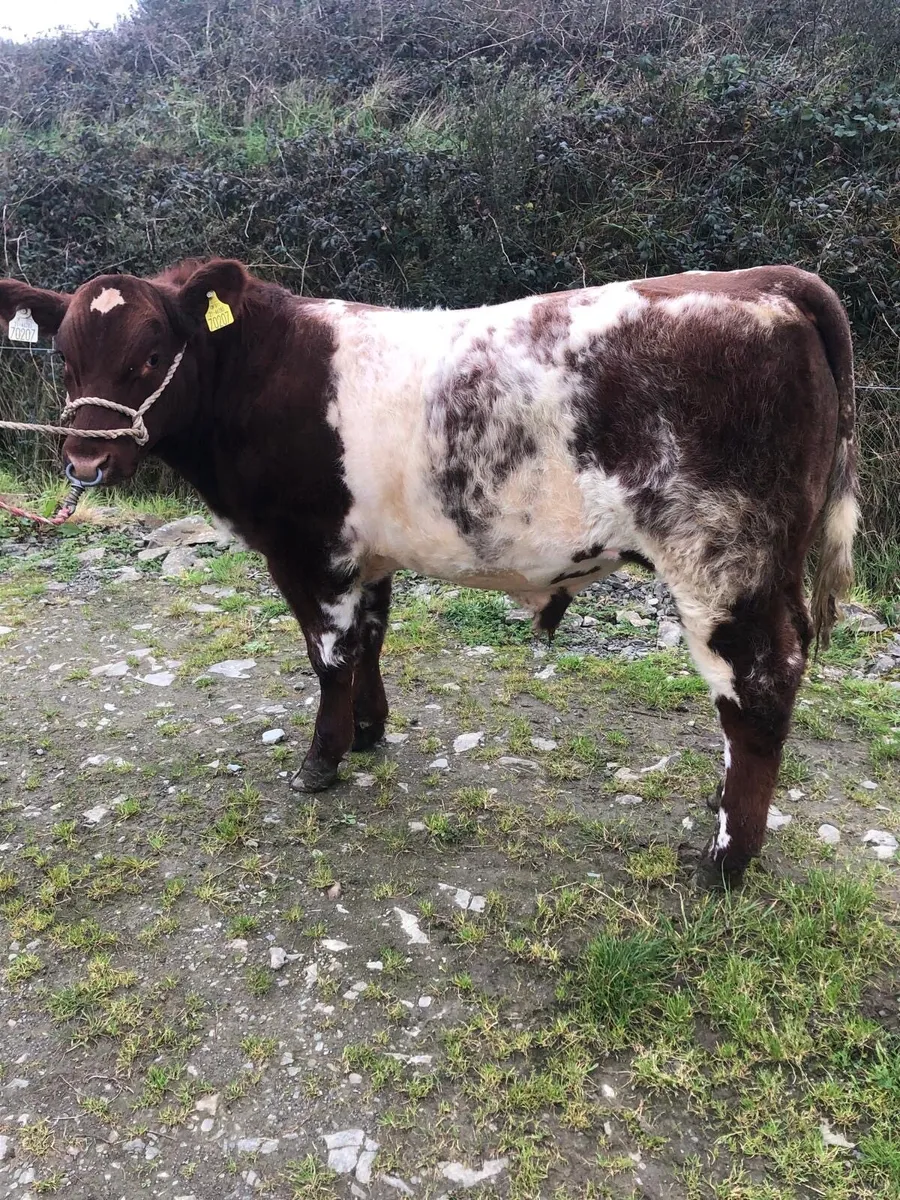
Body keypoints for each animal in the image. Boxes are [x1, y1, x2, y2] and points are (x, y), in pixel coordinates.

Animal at [0, 259, 858, 883]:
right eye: (66, 358)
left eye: (149, 356)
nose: (84, 460)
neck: (258, 372)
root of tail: (765, 282)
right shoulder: (369, 550)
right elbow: (371, 640)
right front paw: (369, 731)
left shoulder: (307, 549)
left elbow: (329, 655)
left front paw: (321, 758)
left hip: (722, 561)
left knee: (758, 689)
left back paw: (725, 859)